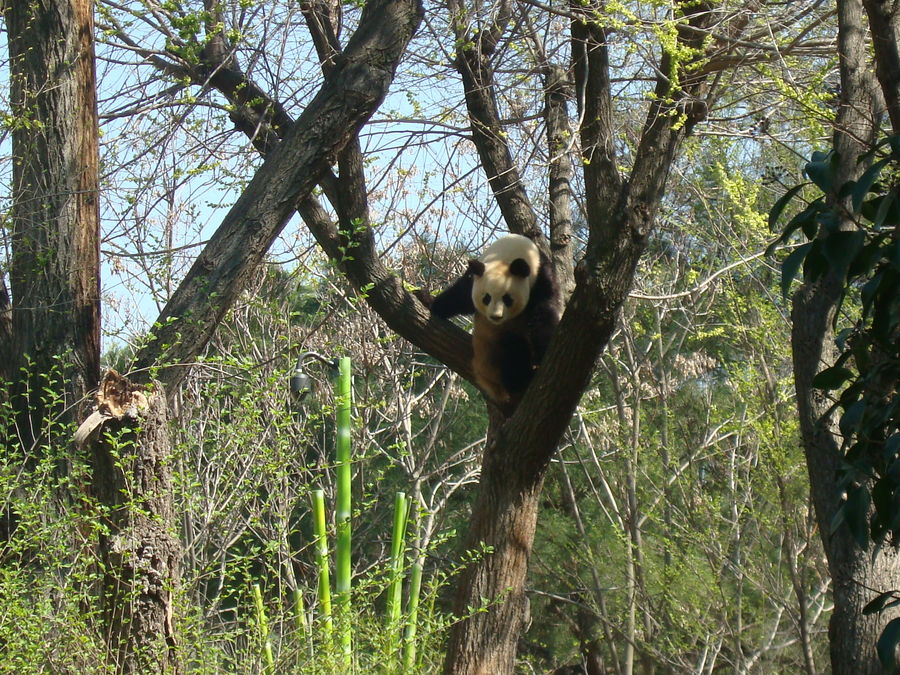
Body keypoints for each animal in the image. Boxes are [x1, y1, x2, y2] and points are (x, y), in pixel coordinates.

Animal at [430, 232, 564, 412]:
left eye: (507, 298)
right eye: (486, 298)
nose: (495, 317)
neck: (507, 255)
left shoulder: (541, 277)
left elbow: (545, 312)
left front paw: (542, 352)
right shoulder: (475, 275)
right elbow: (460, 296)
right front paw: (431, 303)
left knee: (514, 352)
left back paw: (523, 380)